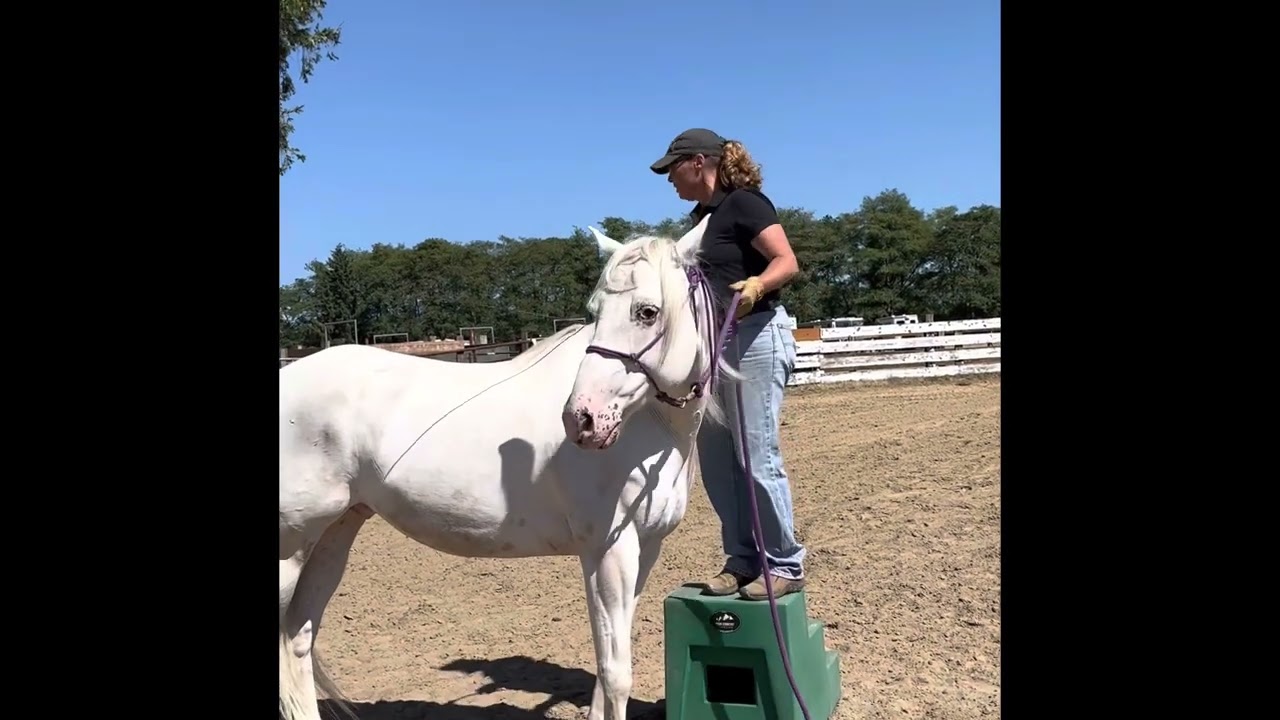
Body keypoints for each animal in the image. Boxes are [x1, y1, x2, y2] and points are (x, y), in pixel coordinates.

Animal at [279, 214, 737, 720]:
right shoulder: (609, 552)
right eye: (596, 310)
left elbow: (604, 669)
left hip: (332, 537)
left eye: (647, 312)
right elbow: (616, 675)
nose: (582, 418)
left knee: (298, 640)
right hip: (290, 549)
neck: (647, 428)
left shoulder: (642, 551)